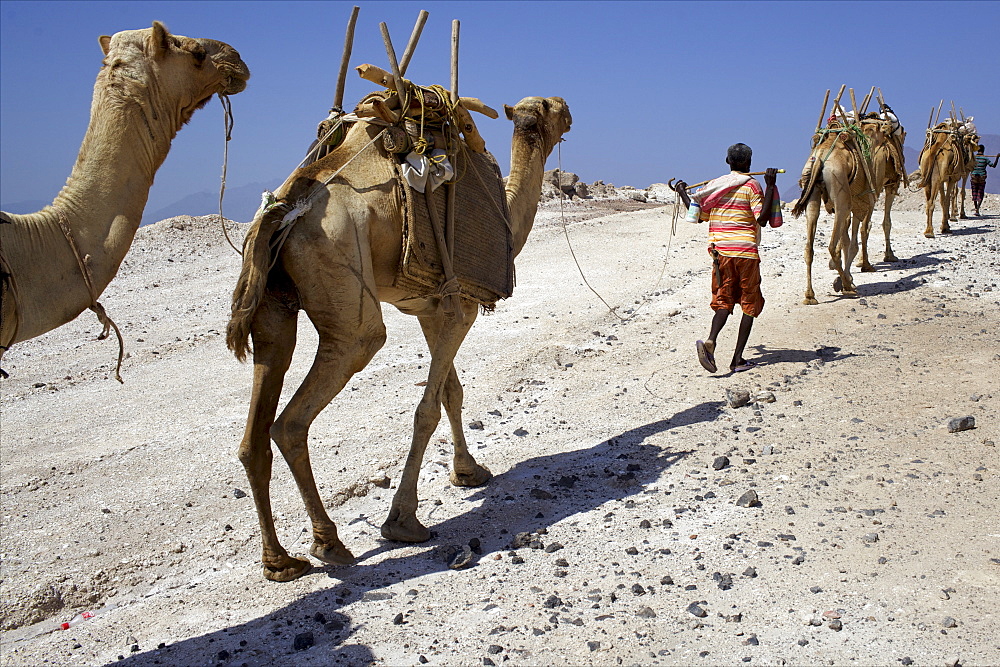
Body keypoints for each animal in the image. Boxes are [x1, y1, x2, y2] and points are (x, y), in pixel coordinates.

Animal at [226, 96, 572, 580]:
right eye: (549, 108)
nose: (568, 109)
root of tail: (282, 213)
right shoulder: (462, 307)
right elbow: (427, 409)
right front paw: (403, 522)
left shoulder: (430, 308)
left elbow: (451, 392)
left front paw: (469, 472)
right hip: (344, 291)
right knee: (298, 415)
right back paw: (329, 543)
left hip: (274, 307)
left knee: (254, 433)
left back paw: (280, 561)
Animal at [796, 119, 876, 306]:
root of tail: (819, 158)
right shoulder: (863, 204)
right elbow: (853, 242)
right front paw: (848, 279)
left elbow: (847, 240)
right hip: (842, 197)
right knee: (832, 245)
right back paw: (847, 286)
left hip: (813, 194)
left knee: (809, 247)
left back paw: (810, 296)